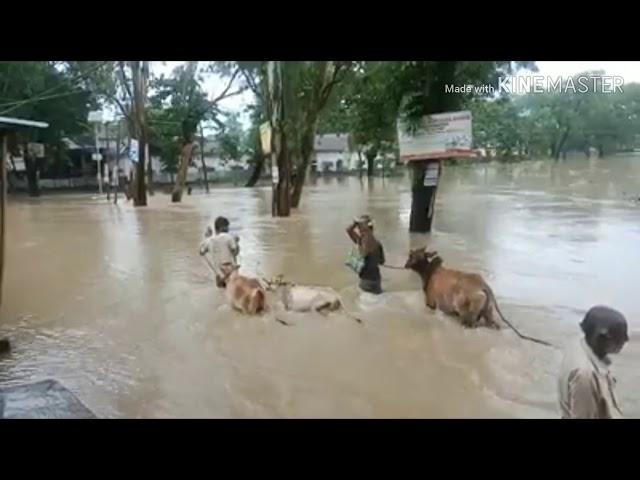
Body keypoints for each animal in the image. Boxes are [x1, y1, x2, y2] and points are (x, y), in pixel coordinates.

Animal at [408, 249, 552, 346]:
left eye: (413, 255)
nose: (406, 264)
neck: (429, 272)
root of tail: (484, 286)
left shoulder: (431, 303)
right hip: (488, 312)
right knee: (494, 325)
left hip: (467, 315)